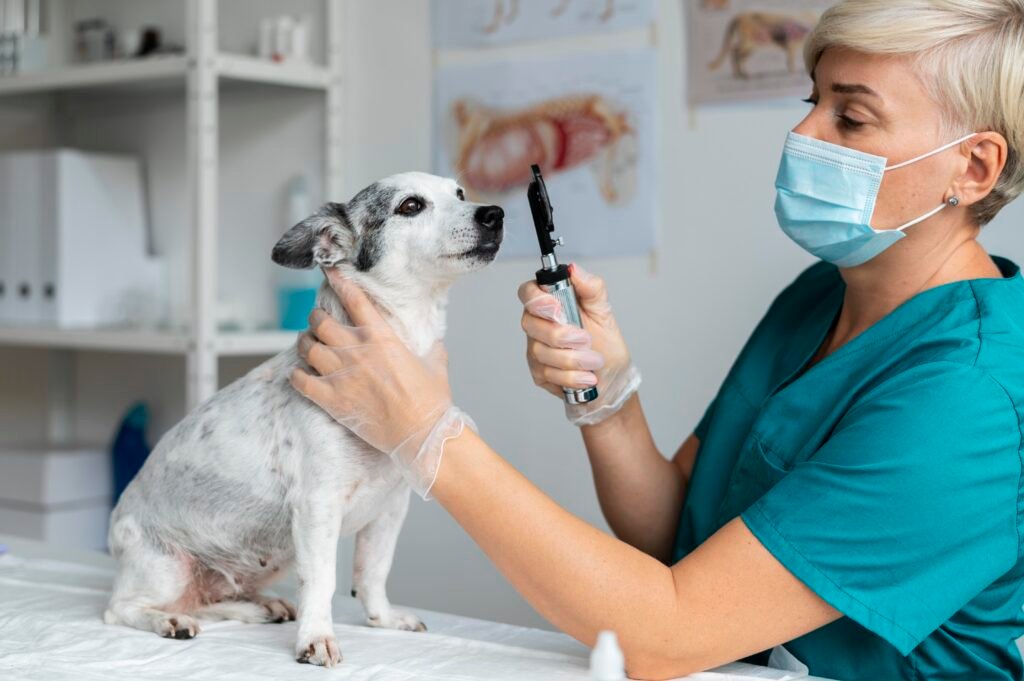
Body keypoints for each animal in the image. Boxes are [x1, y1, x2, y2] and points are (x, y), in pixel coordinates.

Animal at [103, 173, 503, 667]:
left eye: (460, 193)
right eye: (411, 206)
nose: (495, 213)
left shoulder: (389, 511)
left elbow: (373, 573)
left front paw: (384, 619)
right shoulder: (318, 508)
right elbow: (323, 582)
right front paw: (316, 638)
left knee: (206, 600)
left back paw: (256, 608)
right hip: (165, 569)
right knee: (124, 609)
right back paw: (168, 621)